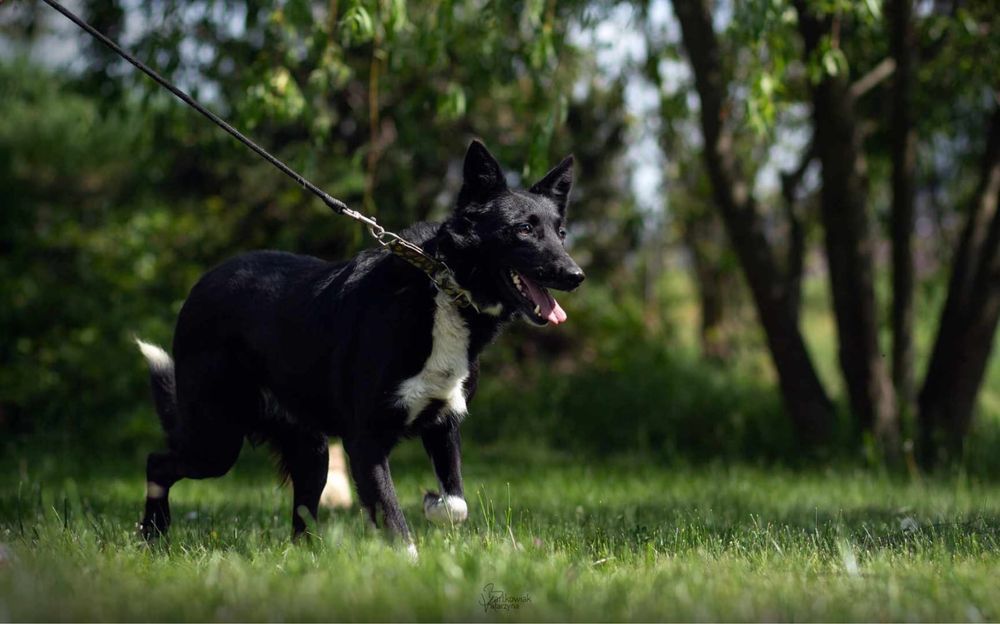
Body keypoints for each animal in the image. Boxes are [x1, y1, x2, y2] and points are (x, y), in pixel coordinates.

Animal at [135, 139, 584, 552]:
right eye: (523, 229)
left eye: (560, 232)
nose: (575, 275)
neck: (444, 287)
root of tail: (202, 284)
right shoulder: (364, 440)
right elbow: (394, 520)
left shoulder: (443, 421)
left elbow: (456, 503)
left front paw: (432, 503)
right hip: (217, 439)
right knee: (157, 462)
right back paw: (153, 535)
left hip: (310, 450)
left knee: (301, 516)